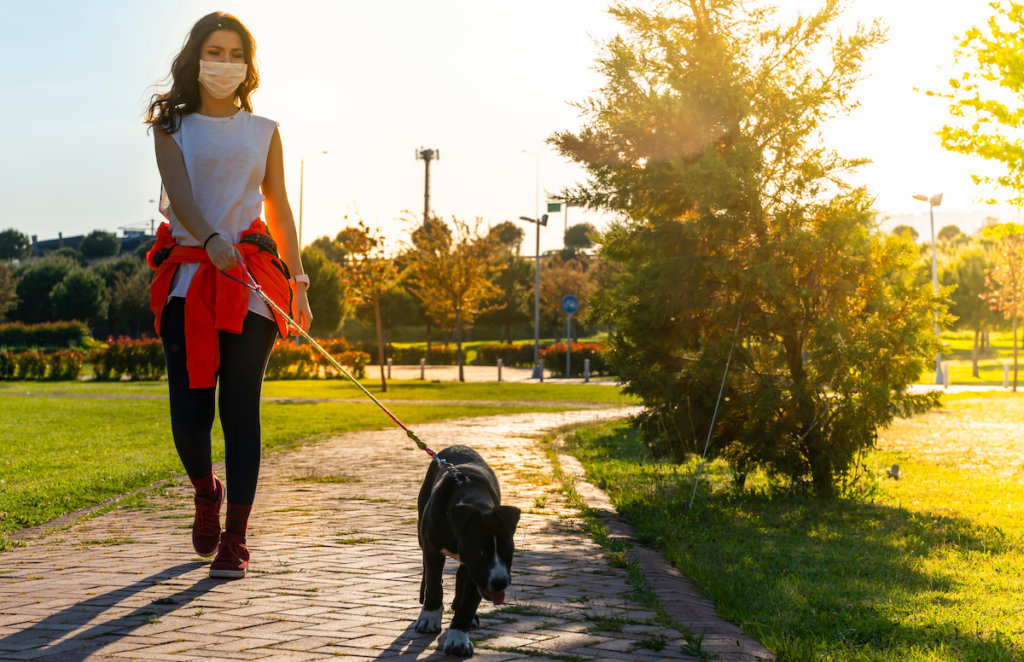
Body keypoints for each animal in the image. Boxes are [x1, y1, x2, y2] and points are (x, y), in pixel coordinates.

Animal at [411, 446, 520, 659]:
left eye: (508, 551)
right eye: (481, 552)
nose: (500, 582)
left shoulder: (476, 571)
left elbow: (469, 600)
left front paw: (458, 639)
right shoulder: (433, 550)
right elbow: (434, 583)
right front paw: (430, 617)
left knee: (461, 575)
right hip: (421, 532)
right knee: (427, 573)